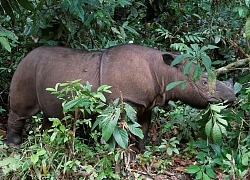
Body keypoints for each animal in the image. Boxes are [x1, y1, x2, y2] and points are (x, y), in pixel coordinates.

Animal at [6, 44, 235, 150]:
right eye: (203, 83)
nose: (231, 97)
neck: (165, 73)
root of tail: (24, 57)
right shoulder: (125, 102)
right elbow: (119, 130)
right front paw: (117, 152)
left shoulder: (146, 103)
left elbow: (143, 129)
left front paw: (143, 151)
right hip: (26, 69)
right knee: (20, 112)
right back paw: (14, 146)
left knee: (51, 116)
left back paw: (47, 144)